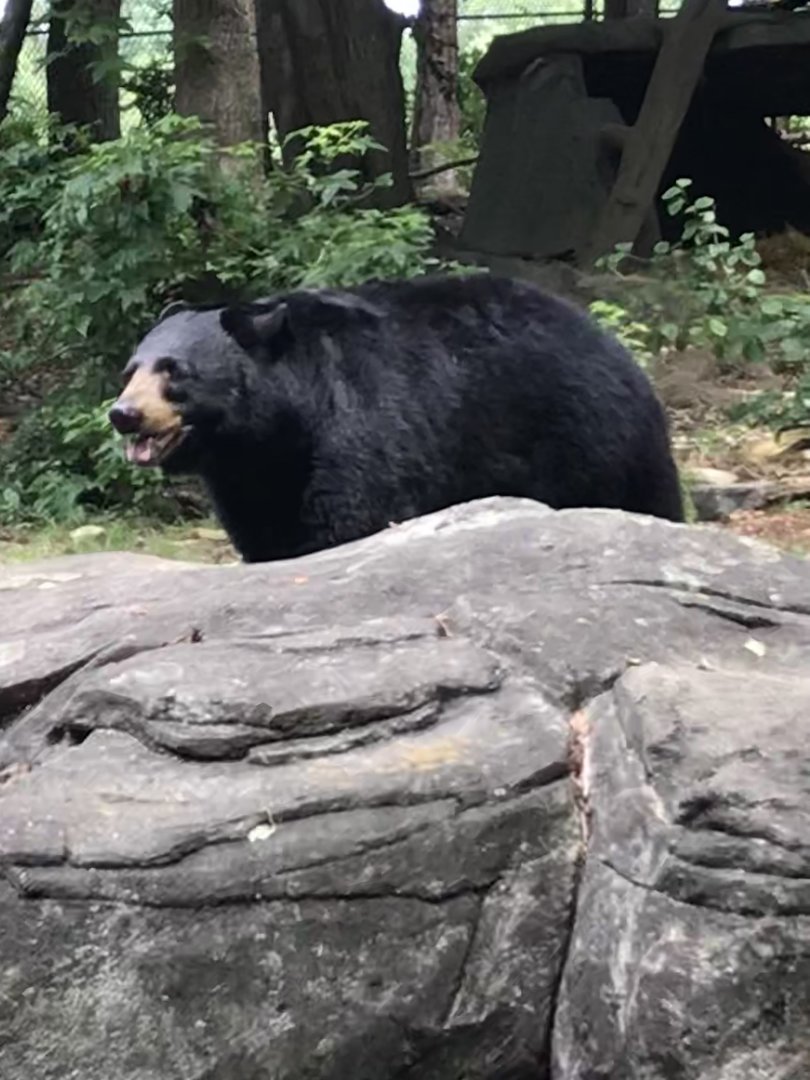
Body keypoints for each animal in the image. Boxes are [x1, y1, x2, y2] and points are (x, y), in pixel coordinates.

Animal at [109, 273, 683, 563]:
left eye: (175, 372)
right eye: (131, 370)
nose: (125, 415)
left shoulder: (363, 430)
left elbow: (351, 521)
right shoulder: (250, 479)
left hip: (593, 445)